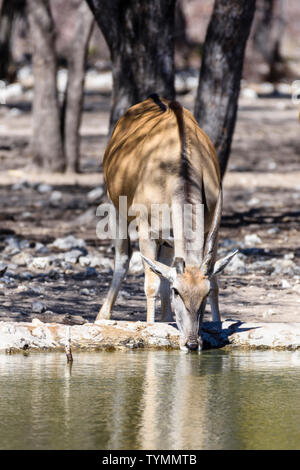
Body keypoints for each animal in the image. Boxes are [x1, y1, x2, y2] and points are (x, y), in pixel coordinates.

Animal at [97, 94, 238, 348]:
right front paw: (150, 329)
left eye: (203, 294)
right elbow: (151, 283)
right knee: (123, 258)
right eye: (177, 291)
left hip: (169, 236)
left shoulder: (208, 229)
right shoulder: (146, 229)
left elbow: (215, 283)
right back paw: (104, 315)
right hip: (115, 208)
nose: (191, 343)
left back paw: (166, 319)